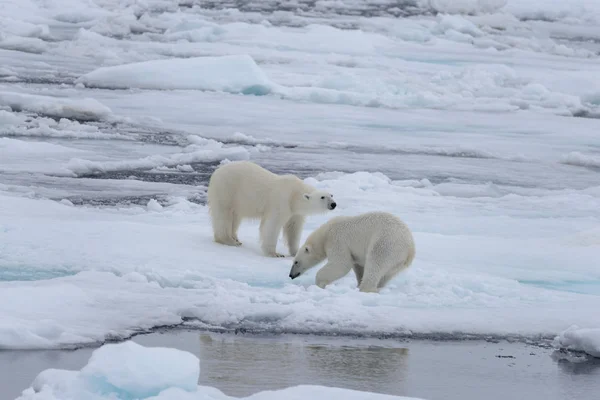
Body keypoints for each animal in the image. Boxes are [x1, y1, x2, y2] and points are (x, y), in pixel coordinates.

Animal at [206, 159, 338, 256]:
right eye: (322, 197)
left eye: (331, 195)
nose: (333, 204)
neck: (295, 193)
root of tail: (216, 172)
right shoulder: (281, 201)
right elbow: (272, 225)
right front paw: (275, 253)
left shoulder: (294, 211)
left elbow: (293, 228)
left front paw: (295, 251)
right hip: (227, 190)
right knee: (224, 214)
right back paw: (228, 240)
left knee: (236, 216)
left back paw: (236, 238)